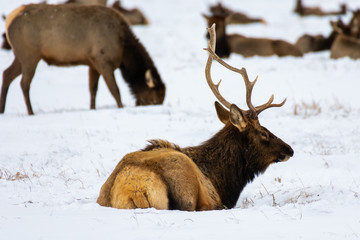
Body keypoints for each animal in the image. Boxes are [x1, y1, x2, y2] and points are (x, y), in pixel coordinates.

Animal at [0, 3, 166, 114]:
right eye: (155, 98)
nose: (151, 106)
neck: (123, 46)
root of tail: (8, 20)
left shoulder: (93, 63)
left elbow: (93, 89)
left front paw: (92, 108)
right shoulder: (103, 60)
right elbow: (115, 90)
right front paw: (121, 107)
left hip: (21, 56)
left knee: (7, 74)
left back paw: (2, 109)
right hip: (29, 55)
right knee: (24, 83)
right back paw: (31, 112)